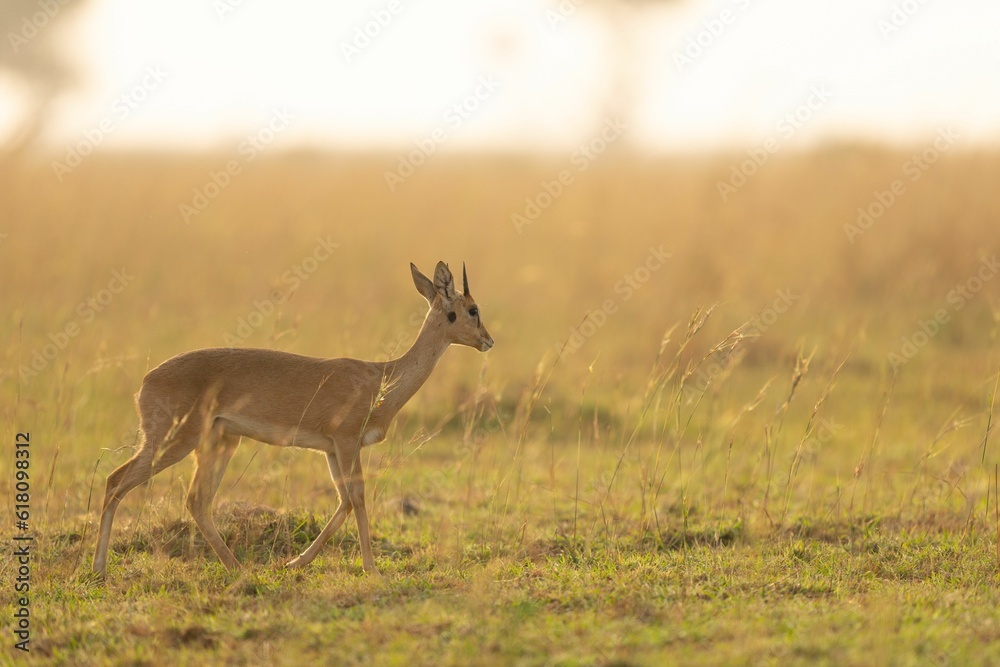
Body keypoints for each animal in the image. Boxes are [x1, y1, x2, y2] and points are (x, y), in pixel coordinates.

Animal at [92, 261, 493, 577]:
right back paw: (99, 569)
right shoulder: (346, 442)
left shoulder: (331, 450)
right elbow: (359, 497)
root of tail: (145, 382)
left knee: (196, 501)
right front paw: (372, 569)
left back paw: (236, 568)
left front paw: (294, 563)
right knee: (116, 482)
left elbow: (344, 501)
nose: (488, 341)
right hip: (174, 442)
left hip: (220, 442)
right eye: (472, 308)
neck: (380, 378)